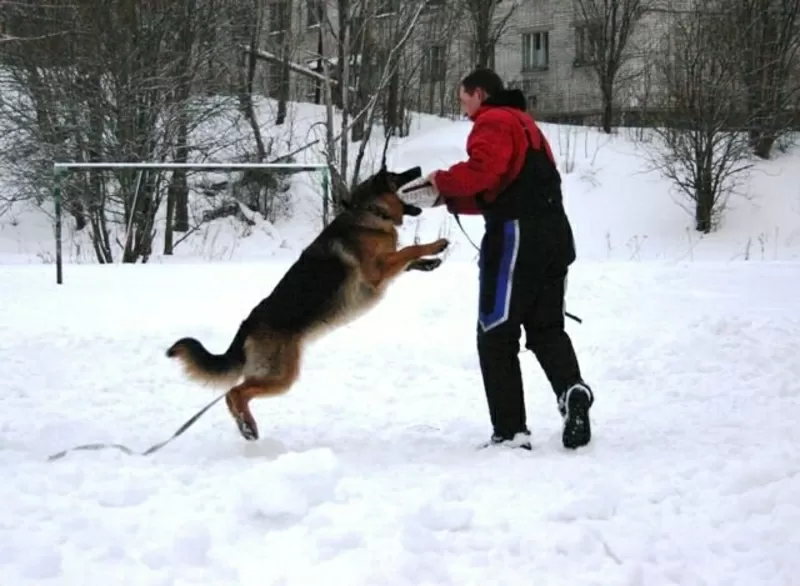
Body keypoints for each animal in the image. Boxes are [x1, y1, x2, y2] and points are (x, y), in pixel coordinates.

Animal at [166, 162, 450, 436]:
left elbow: (407, 259)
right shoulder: (376, 272)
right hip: (282, 375)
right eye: (395, 175)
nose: (417, 169)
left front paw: (430, 262)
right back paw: (248, 427)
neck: (370, 212)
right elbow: (409, 249)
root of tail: (247, 325)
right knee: (234, 392)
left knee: (234, 393)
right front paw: (436, 245)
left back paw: (245, 425)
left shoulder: (386, 268)